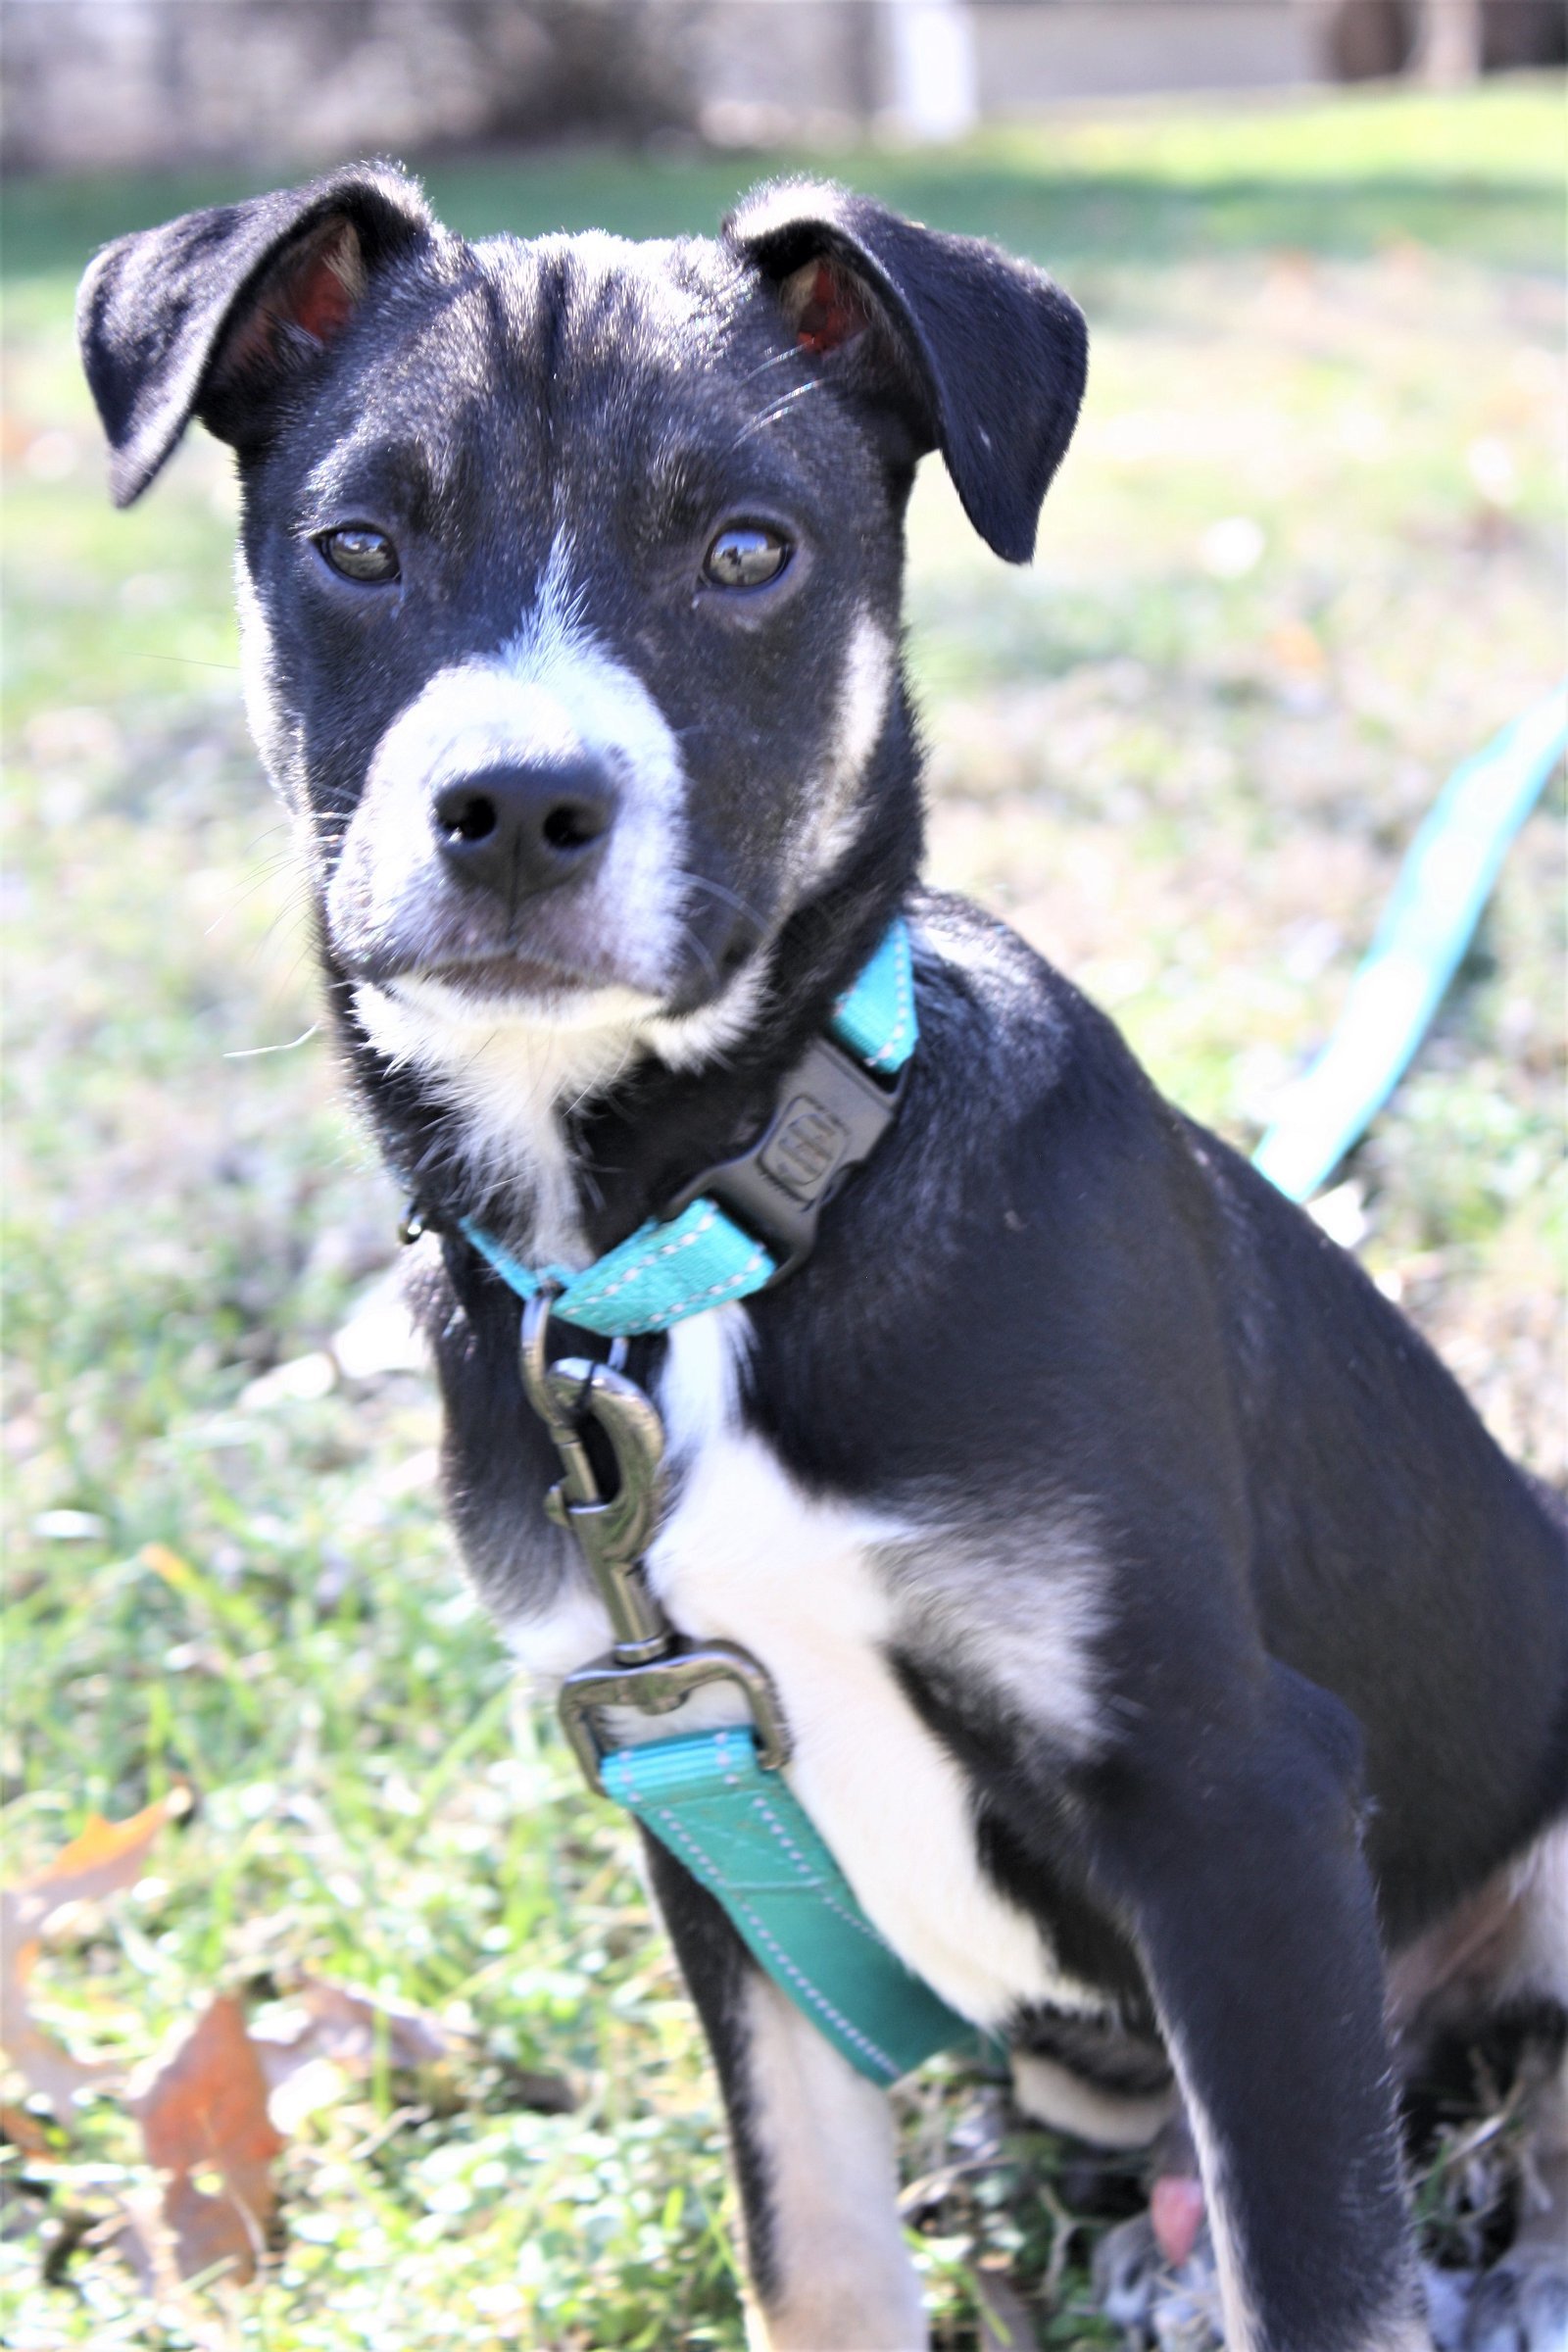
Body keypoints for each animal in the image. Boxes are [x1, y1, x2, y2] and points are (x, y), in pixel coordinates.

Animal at [82, 166, 1568, 2352]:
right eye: (359, 543)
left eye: (745, 552)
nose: (516, 810)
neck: (692, 1252)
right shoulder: (693, 1793)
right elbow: (815, 2244)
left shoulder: (1239, 1794)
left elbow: (1319, 2270)